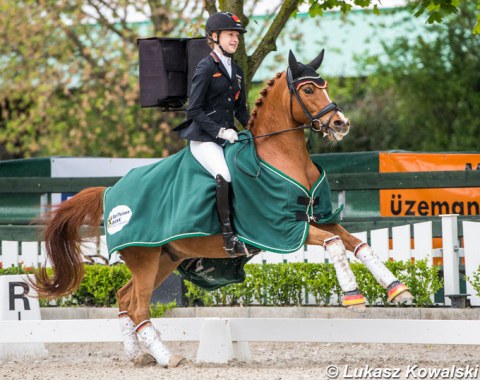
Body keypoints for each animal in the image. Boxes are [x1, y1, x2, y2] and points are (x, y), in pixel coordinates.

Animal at [31, 51, 412, 368]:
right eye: (307, 90)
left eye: (325, 86)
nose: (341, 124)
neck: (283, 156)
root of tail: (111, 190)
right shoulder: (282, 229)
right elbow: (334, 245)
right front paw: (353, 295)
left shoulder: (315, 219)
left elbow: (357, 244)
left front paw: (397, 289)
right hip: (145, 256)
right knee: (137, 305)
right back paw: (168, 358)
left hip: (165, 259)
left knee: (125, 299)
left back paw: (137, 356)